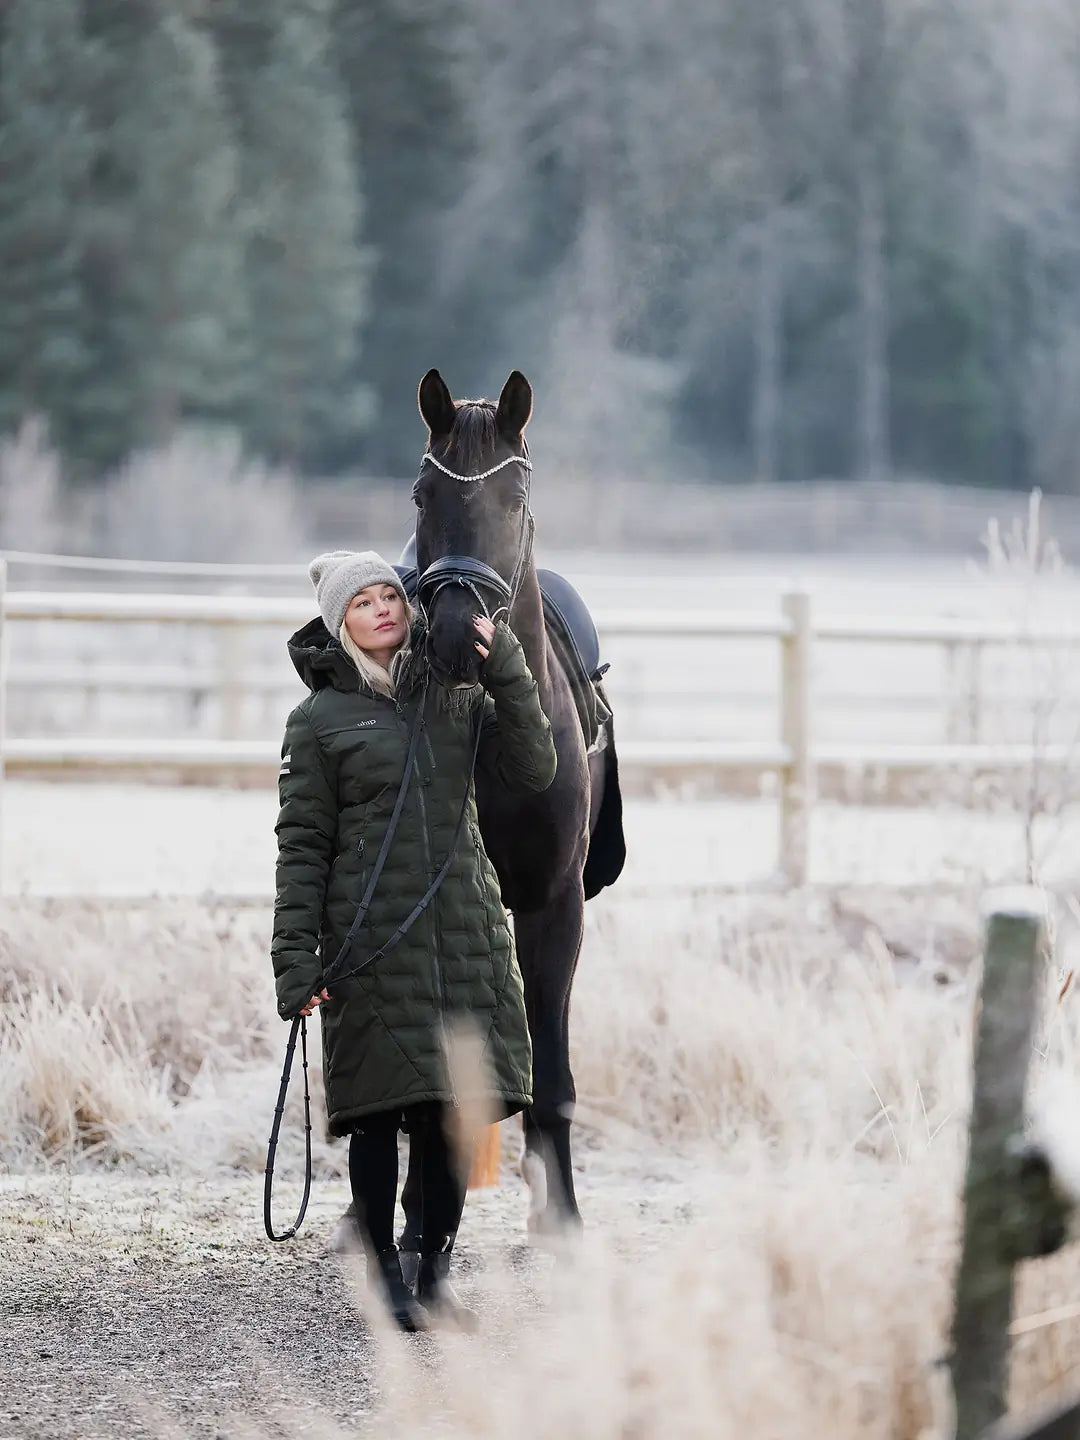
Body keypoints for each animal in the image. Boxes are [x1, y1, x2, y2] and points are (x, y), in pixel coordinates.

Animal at [394, 367, 625, 1242]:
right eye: (423, 492)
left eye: (516, 497)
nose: (461, 632)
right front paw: (415, 1215)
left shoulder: (553, 903)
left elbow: (551, 1070)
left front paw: (560, 1216)